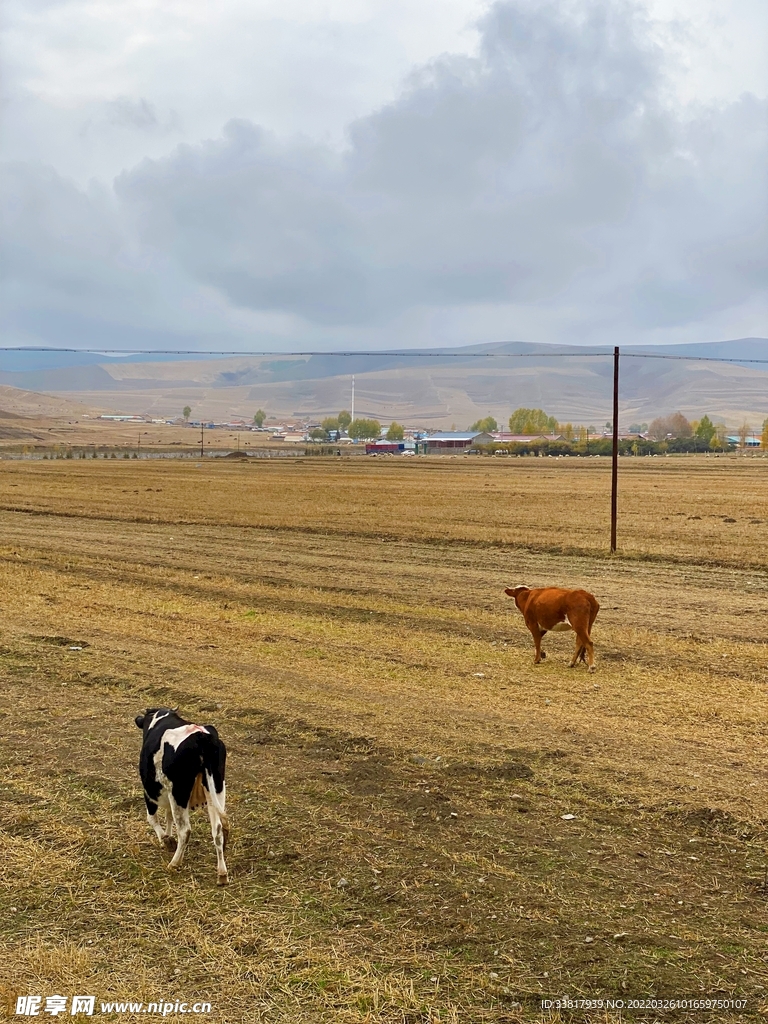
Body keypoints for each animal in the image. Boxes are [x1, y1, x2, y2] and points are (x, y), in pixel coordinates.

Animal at [134, 708, 230, 884]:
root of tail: (201, 737)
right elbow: (168, 817)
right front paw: (169, 836)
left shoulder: (150, 792)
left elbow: (152, 818)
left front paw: (166, 840)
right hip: (216, 788)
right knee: (218, 830)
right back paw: (222, 874)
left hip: (179, 792)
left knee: (185, 830)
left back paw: (174, 863)